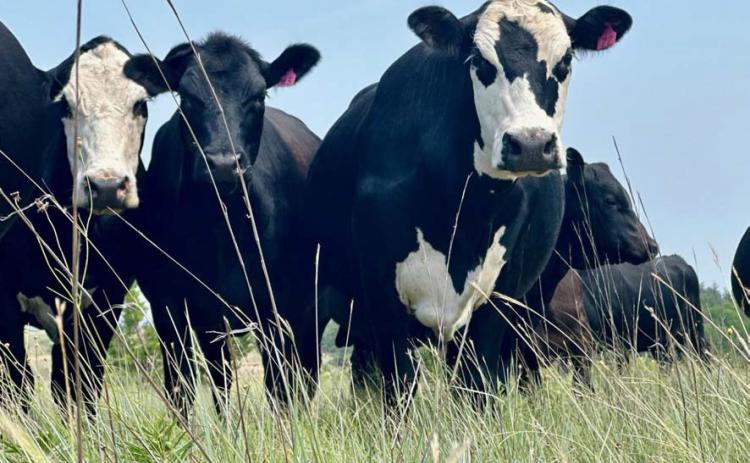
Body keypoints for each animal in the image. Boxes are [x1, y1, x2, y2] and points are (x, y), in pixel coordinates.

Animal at [0, 34, 164, 413]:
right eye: (66, 107)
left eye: (140, 105)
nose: (106, 186)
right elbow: (17, 387)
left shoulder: (104, 305)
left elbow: (78, 387)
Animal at [122, 32, 321, 414]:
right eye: (187, 97)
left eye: (259, 96)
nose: (223, 163)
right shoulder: (173, 305)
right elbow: (190, 385)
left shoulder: (280, 305)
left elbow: (278, 386)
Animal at [304, 1, 632, 403]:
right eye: (479, 60)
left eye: (566, 60)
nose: (531, 144)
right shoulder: (382, 299)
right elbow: (398, 390)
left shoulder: (496, 306)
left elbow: (476, 388)